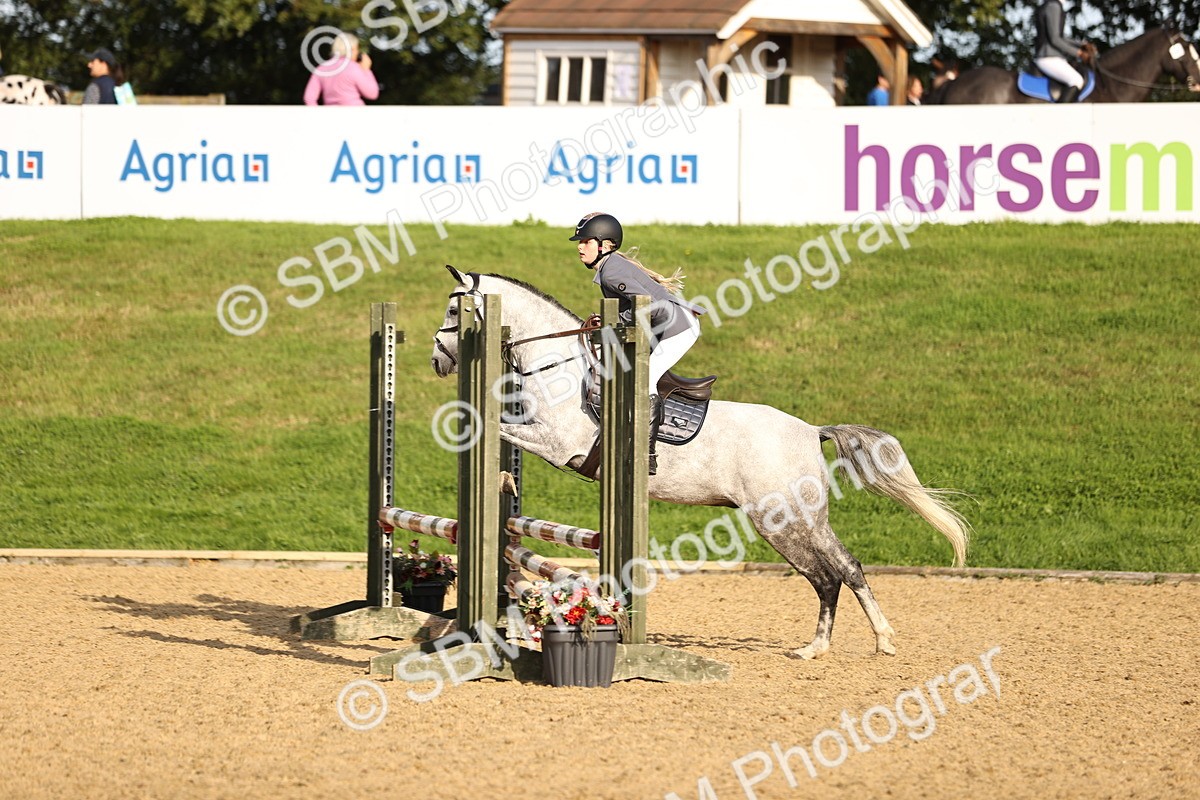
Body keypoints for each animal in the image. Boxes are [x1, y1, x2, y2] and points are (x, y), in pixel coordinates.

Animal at [430, 267, 971, 660]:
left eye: (456, 308)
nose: (438, 360)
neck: (558, 364)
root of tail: (810, 431)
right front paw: (500, 473)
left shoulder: (561, 443)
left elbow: (499, 429)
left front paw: (493, 466)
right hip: (803, 519)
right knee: (842, 571)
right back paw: (847, 644)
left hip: (781, 519)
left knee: (831, 574)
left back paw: (841, 645)